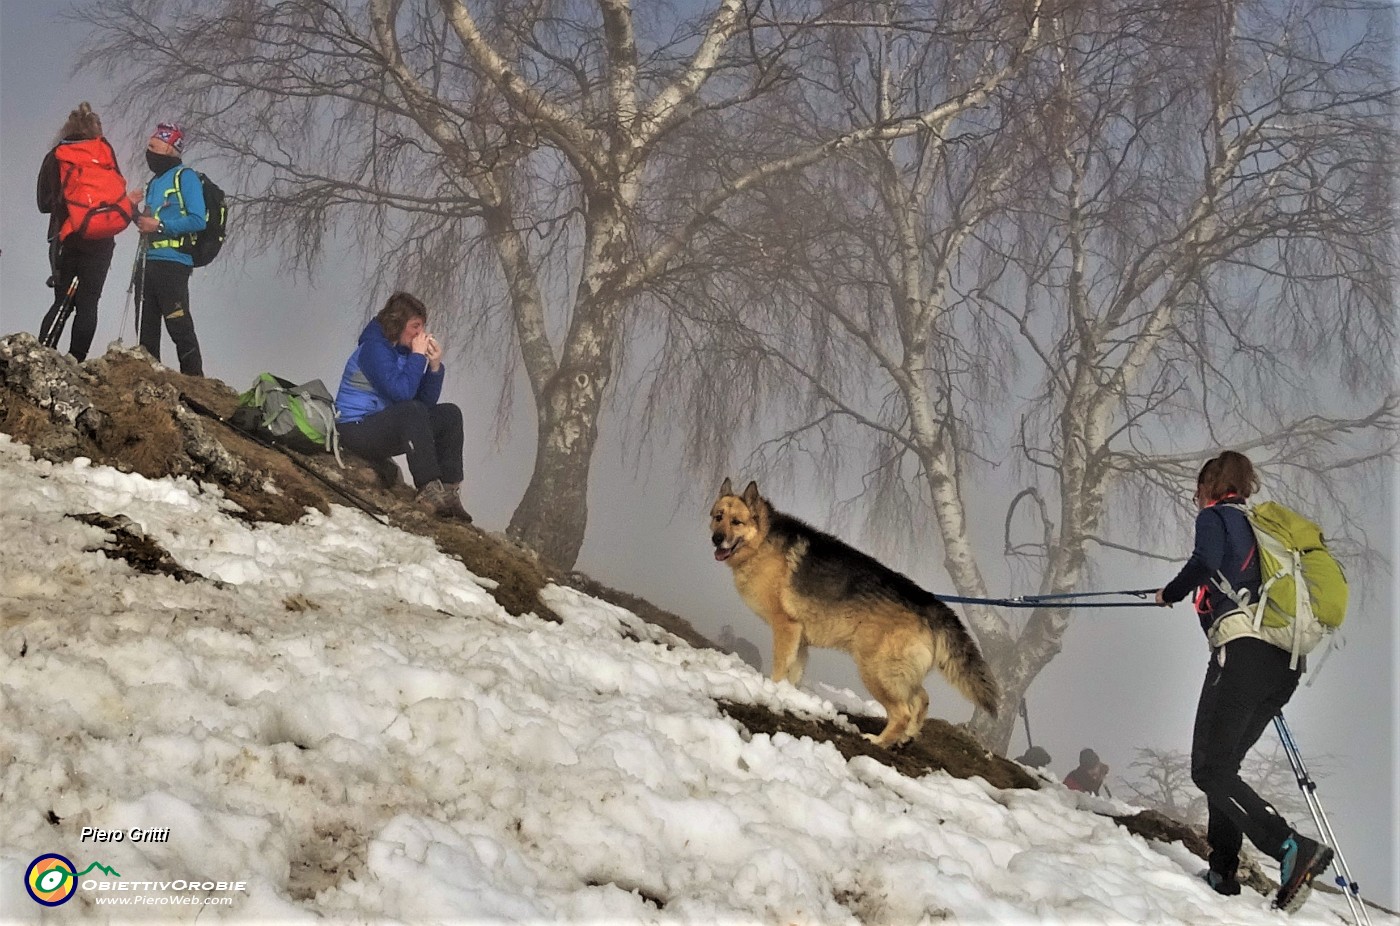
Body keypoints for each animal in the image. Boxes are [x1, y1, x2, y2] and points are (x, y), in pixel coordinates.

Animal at [711, 479, 996, 745]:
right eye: (718, 517)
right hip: (897, 675)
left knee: (904, 712)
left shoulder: (786, 628)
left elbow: (780, 669)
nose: (716, 538)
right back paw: (905, 739)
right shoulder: (800, 640)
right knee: (922, 699)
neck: (762, 542)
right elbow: (794, 676)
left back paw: (879, 742)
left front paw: (772, 689)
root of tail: (930, 602)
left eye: (736, 522)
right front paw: (787, 696)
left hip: (875, 671)